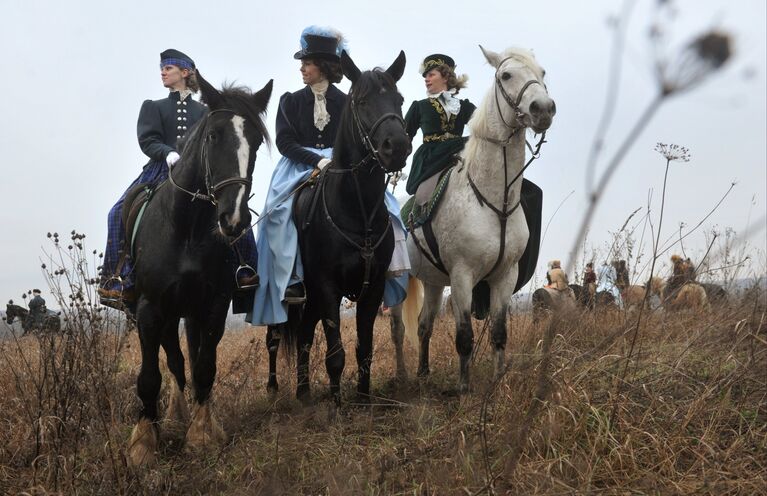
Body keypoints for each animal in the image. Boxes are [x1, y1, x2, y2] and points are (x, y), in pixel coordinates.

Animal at [392, 46, 556, 392]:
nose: (544, 109)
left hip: (432, 280)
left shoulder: (504, 276)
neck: (495, 199)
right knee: (398, 328)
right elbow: (464, 335)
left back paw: (422, 372)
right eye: (505, 75)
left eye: (542, 72)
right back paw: (401, 375)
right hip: (398, 279)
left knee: (424, 325)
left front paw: (497, 381)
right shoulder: (463, 276)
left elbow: (498, 332)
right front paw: (464, 388)